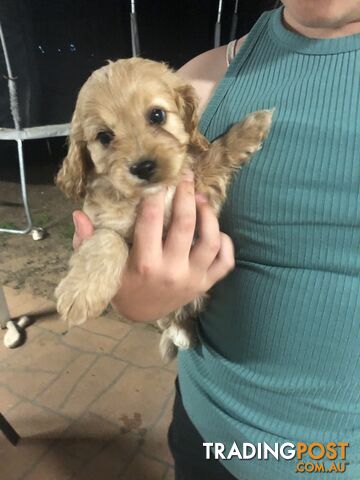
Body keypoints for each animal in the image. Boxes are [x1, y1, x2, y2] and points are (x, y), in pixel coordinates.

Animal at [54, 57, 272, 360]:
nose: (143, 167)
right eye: (104, 136)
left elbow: (216, 153)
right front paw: (79, 294)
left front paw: (252, 127)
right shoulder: (100, 223)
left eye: (157, 115)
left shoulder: (200, 184)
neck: (154, 194)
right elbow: (108, 240)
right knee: (169, 316)